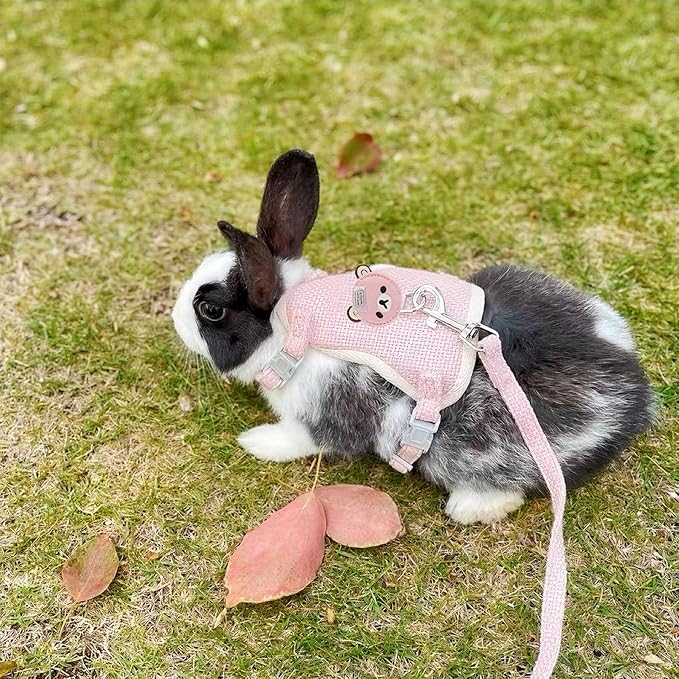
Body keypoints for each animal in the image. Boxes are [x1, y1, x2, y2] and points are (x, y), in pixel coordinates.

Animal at [172, 149, 655, 524]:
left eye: (210, 311)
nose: (175, 320)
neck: (297, 324)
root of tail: (634, 396)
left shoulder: (324, 415)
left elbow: (302, 440)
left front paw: (255, 441)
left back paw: (467, 507)